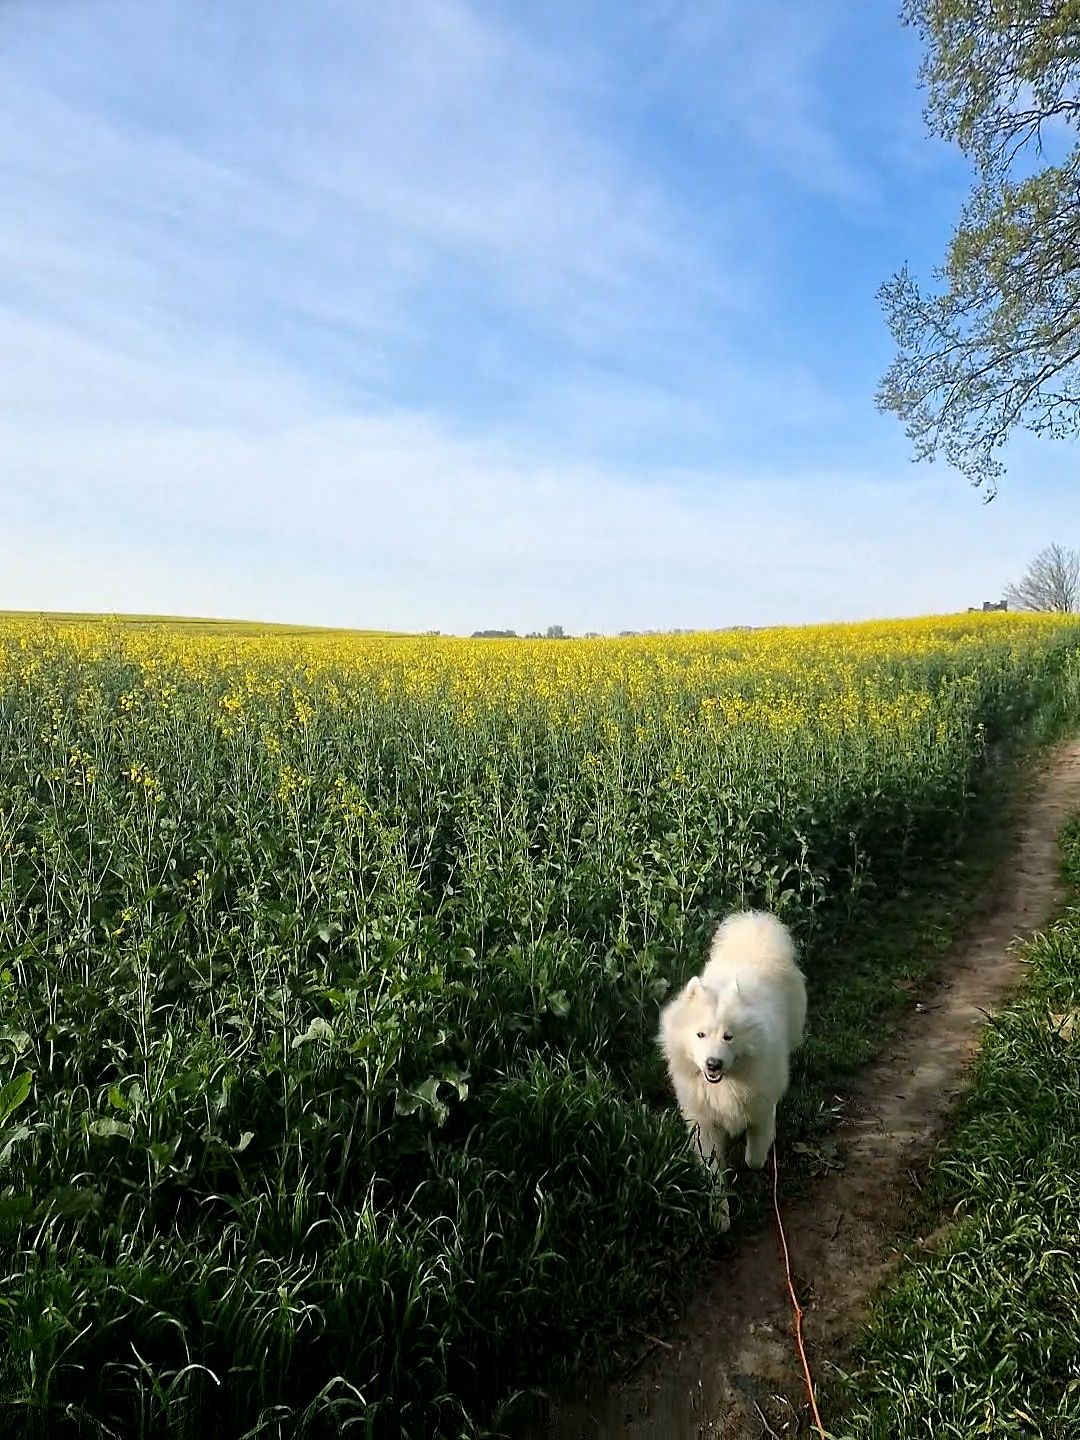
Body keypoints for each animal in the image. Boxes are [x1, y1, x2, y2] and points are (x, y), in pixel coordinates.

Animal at [659, 910, 806, 1226]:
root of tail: (753, 935)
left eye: (729, 1036)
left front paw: (753, 1159)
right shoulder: (705, 1124)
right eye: (700, 1034)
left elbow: (756, 1151)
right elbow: (713, 1173)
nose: (713, 1063)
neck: (726, 1083)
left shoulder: (760, 1104)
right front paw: (720, 1215)